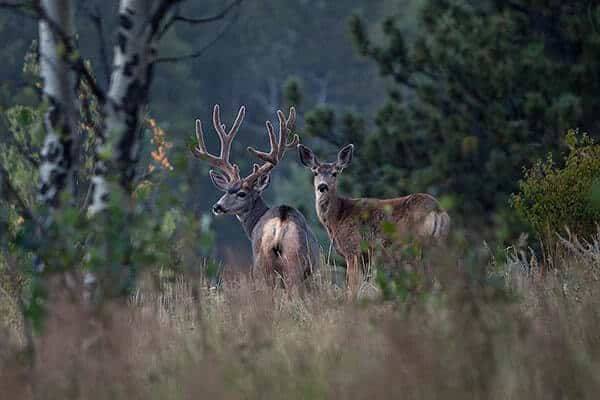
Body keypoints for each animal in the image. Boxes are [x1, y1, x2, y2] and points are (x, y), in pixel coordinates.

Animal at [193, 104, 322, 290]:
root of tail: (280, 225)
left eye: (242, 193)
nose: (217, 207)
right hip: (285, 264)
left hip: (265, 264)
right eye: (226, 190)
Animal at [298, 143, 448, 290]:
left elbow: (352, 287)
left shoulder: (353, 248)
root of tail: (437, 209)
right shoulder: (366, 256)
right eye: (315, 172)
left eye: (335, 173)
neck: (337, 217)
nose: (322, 186)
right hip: (438, 243)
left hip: (417, 243)